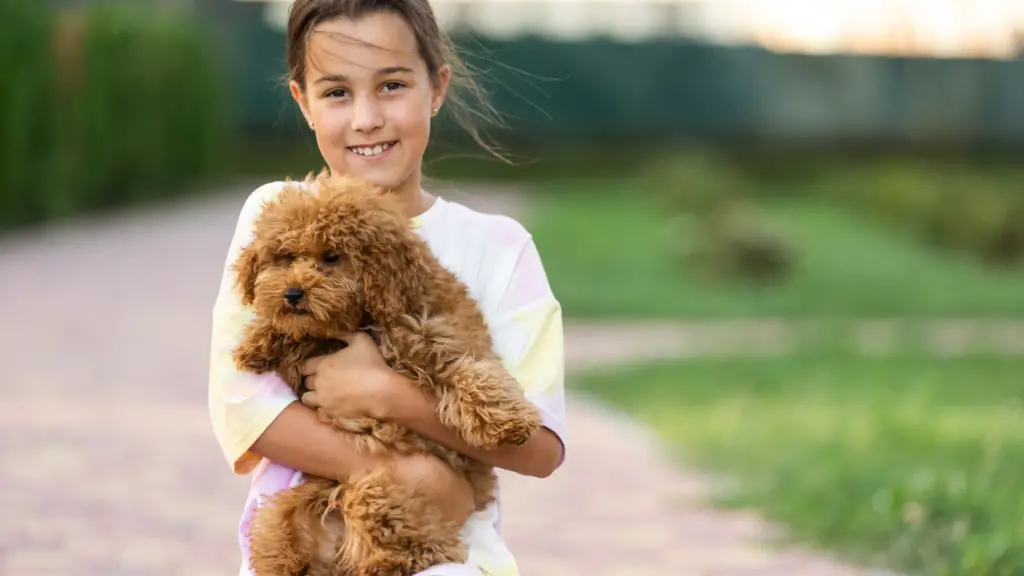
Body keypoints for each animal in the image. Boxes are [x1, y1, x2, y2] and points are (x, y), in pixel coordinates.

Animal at [232, 170, 544, 573]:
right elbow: (292, 334)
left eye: (332, 257)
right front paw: (257, 342)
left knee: (423, 546)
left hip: (381, 486)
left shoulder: (443, 337)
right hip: (284, 516)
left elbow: (471, 372)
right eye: (285, 256)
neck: (367, 318)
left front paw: (507, 422)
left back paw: (384, 561)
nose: (293, 294)